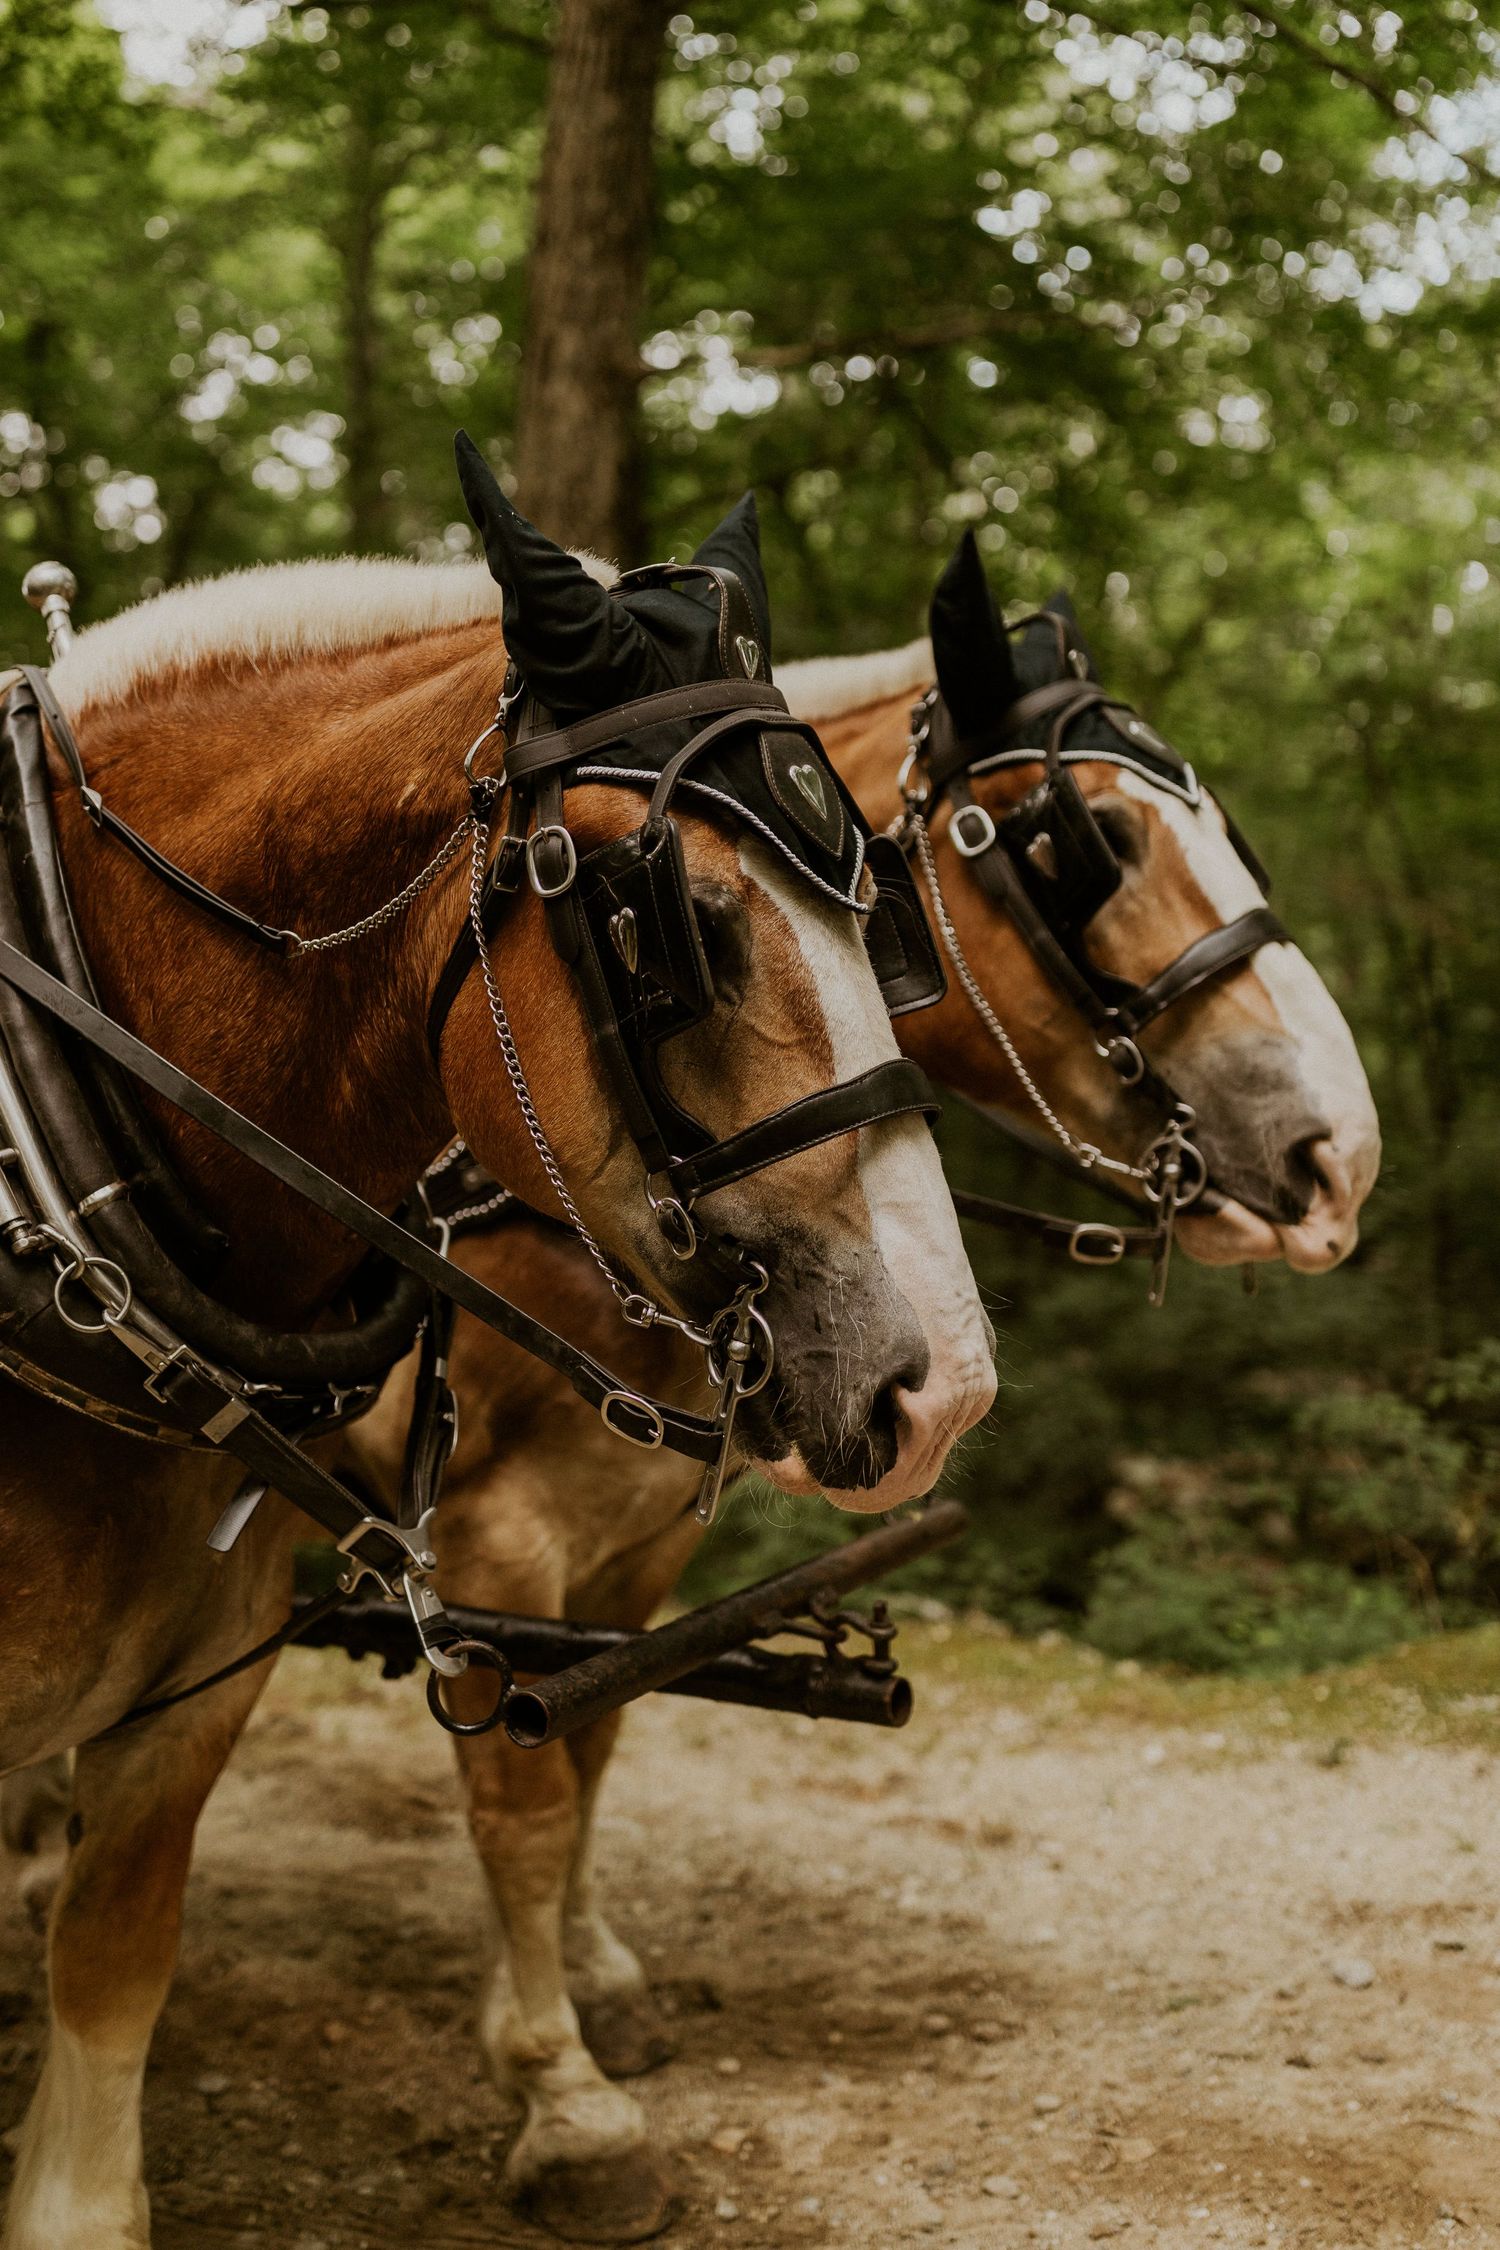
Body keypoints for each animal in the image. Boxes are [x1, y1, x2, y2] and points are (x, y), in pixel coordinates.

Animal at [0, 457, 995, 2250]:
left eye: (883, 908)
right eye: (676, 920)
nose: (939, 1378)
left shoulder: (221, 1680)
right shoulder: (498, 1533)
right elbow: (529, 1794)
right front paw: (566, 2095)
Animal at [306, 533, 1377, 2240]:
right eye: (1095, 841)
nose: (1342, 1152)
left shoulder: (637, 1536)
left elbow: (596, 1741)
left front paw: (599, 1980)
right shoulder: (491, 1537)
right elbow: (521, 1799)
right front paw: (561, 2096)